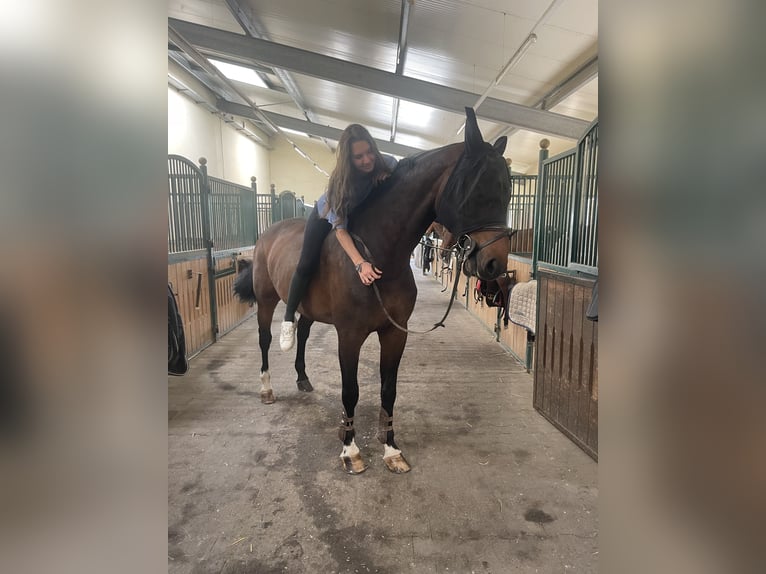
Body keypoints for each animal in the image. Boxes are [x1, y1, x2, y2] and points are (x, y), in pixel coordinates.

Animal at [231, 106, 512, 474]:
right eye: (477, 189)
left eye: (508, 191)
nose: (494, 265)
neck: (377, 256)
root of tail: (269, 233)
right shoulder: (349, 335)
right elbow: (350, 391)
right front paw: (350, 450)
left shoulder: (395, 333)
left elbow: (388, 389)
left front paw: (391, 450)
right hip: (267, 300)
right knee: (266, 338)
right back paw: (267, 387)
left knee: (304, 334)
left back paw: (303, 379)